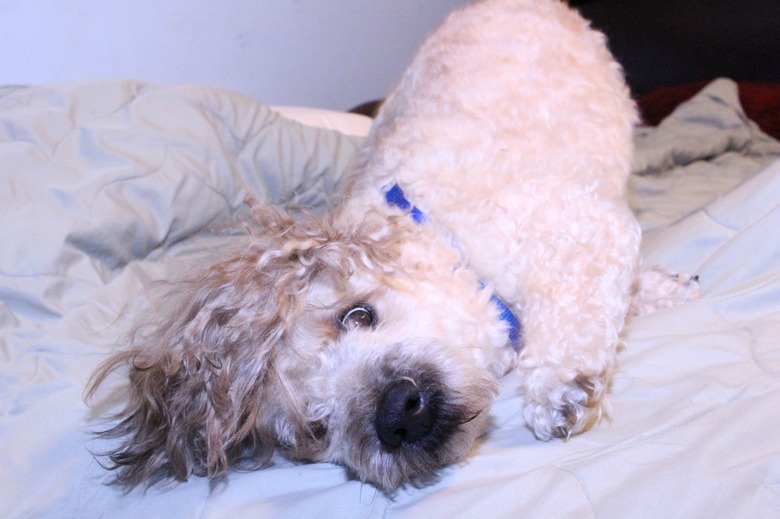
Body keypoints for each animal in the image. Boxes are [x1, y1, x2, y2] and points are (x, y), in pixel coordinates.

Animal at [88, 0, 696, 494]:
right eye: (316, 428)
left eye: (357, 315)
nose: (397, 415)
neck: (444, 233)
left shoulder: (587, 226)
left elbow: (584, 307)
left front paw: (561, 384)